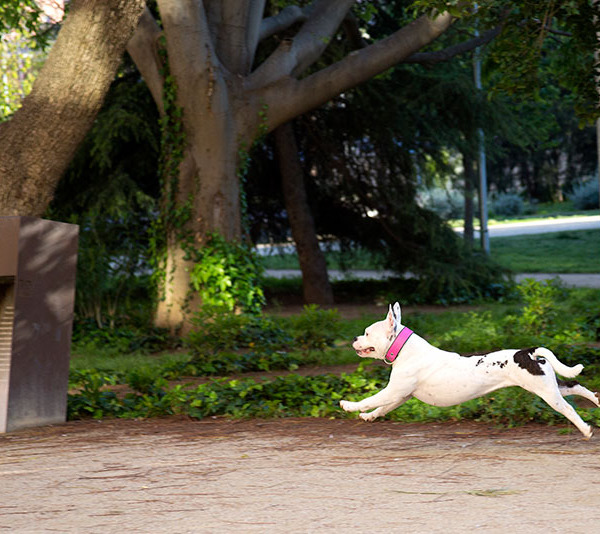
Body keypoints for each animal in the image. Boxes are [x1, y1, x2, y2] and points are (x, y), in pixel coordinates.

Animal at [340, 304, 596, 438]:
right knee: (577, 386)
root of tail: (528, 352)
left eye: (367, 332)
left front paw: (350, 406)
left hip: (547, 393)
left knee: (569, 408)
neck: (405, 350)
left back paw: (585, 429)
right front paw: (368, 416)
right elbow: (382, 408)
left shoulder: (394, 391)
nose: (353, 338)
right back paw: (597, 400)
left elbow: (370, 399)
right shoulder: (401, 395)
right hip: (550, 385)